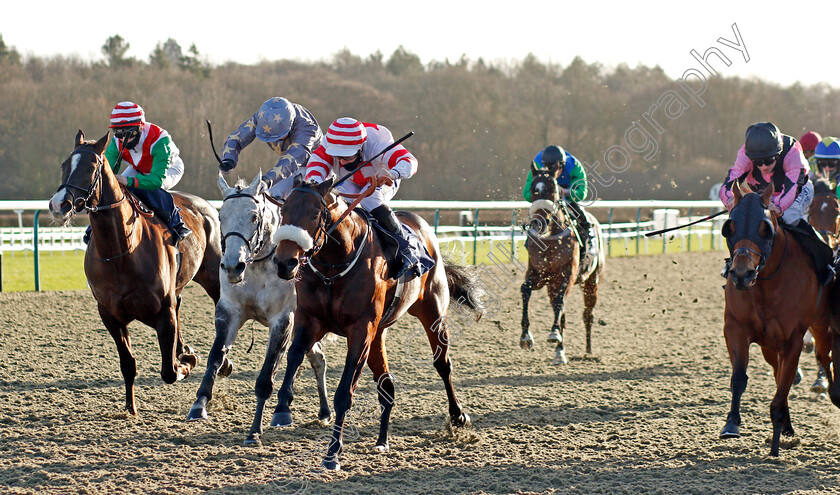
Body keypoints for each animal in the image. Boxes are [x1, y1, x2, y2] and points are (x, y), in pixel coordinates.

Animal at [47, 131, 221, 414]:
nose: (58, 204)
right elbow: (128, 363)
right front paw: (131, 407)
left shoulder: (163, 310)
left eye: (91, 167)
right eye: (64, 165)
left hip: (214, 277)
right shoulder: (110, 314)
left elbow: (170, 371)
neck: (121, 252)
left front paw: (186, 362)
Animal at [189, 172, 334, 448]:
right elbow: (215, 357)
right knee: (317, 358)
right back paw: (323, 410)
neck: (259, 266)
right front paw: (199, 405)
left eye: (254, 216)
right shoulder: (229, 312)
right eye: (221, 216)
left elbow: (266, 376)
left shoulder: (283, 321)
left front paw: (254, 430)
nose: (232, 266)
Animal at [268, 176, 480, 470]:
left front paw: (333, 452)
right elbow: (294, 356)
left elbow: (344, 393)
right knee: (386, 385)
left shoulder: (361, 330)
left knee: (442, 364)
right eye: (284, 212)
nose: (284, 262)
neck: (334, 266)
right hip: (378, 334)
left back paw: (458, 416)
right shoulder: (311, 320)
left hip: (432, 310)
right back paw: (382, 440)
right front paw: (282, 409)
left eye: (314, 214)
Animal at [520, 163, 604, 364]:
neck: (550, 239)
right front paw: (526, 337)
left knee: (587, 315)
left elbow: (560, 303)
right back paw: (560, 352)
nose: (539, 223)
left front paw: (553, 335)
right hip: (552, 285)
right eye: (533, 190)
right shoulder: (538, 275)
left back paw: (587, 351)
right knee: (562, 316)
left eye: (553, 190)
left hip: (591, 281)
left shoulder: (567, 276)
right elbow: (525, 289)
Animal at [720, 182, 836, 458]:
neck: (765, 284)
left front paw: (774, 447)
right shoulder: (735, 328)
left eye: (765, 228)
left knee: (823, 357)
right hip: (769, 345)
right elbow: (740, 378)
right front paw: (731, 424)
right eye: (730, 226)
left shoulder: (793, 338)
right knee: (778, 371)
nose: (742, 274)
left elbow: (783, 387)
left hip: (820, 325)